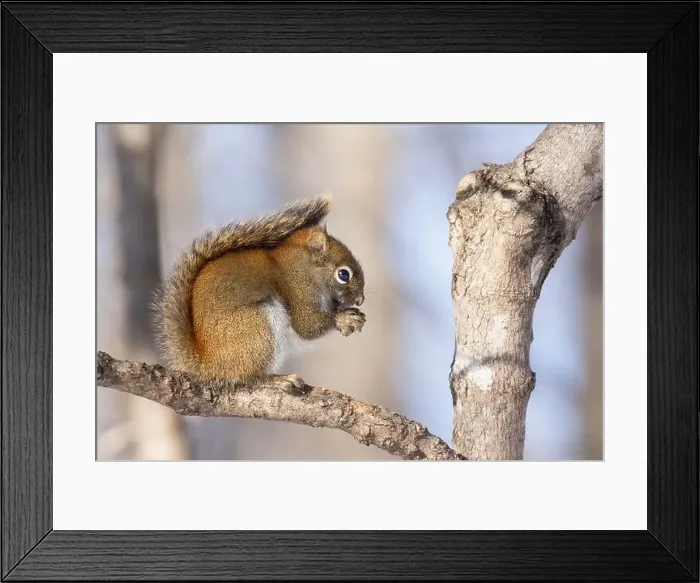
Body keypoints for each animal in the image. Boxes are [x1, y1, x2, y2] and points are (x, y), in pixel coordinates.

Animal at [153, 194, 366, 393]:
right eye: (343, 274)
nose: (361, 300)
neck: (302, 268)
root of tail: (209, 365)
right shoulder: (298, 291)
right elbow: (308, 326)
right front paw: (344, 318)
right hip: (257, 327)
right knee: (248, 377)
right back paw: (276, 380)